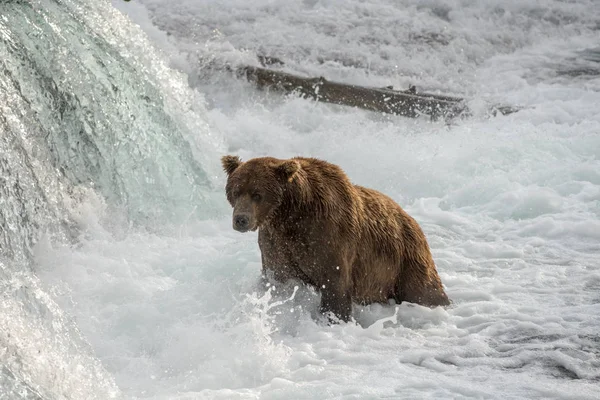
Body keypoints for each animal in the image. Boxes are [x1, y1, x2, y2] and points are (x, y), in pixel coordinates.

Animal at [221, 155, 450, 324]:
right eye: (236, 191)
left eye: (257, 194)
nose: (241, 219)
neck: (290, 215)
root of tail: (411, 219)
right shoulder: (276, 243)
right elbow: (279, 277)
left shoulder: (329, 235)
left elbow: (334, 283)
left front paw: (333, 318)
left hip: (404, 260)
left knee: (424, 291)